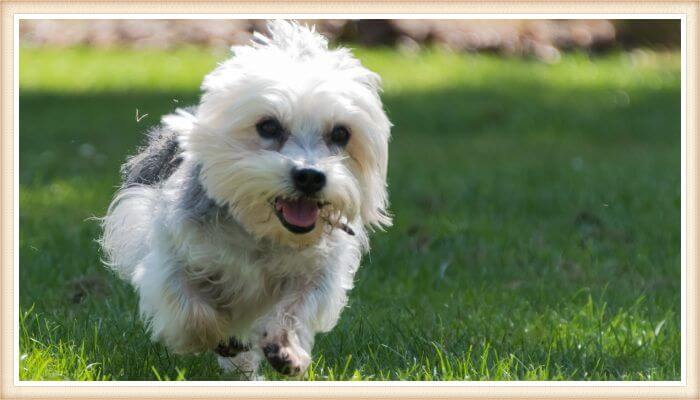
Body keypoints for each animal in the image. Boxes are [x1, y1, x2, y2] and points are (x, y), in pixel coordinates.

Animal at [100, 21, 394, 378]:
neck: (259, 233)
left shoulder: (319, 271)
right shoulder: (171, 253)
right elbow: (191, 308)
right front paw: (216, 335)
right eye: (268, 126)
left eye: (341, 133)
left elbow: (297, 306)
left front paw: (285, 346)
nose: (310, 176)